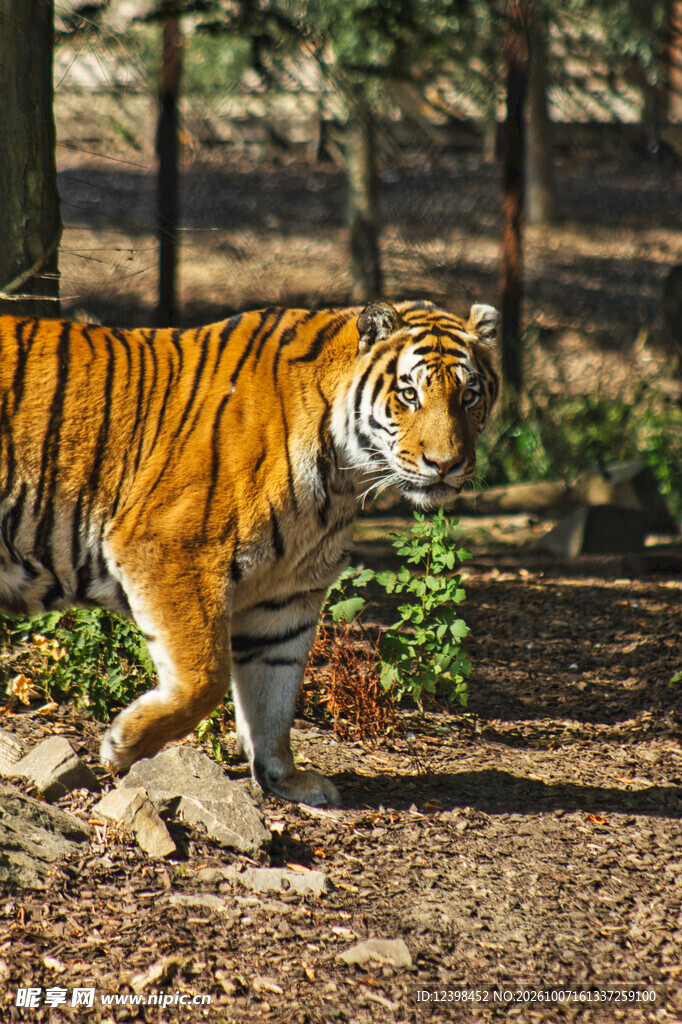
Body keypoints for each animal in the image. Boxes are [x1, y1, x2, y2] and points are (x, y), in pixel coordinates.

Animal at [0, 299, 499, 806]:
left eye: (469, 396)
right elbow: (205, 678)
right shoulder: (170, 548)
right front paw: (125, 744)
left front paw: (284, 777)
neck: (340, 479)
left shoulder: (287, 594)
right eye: (409, 395)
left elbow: (274, 692)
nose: (445, 465)